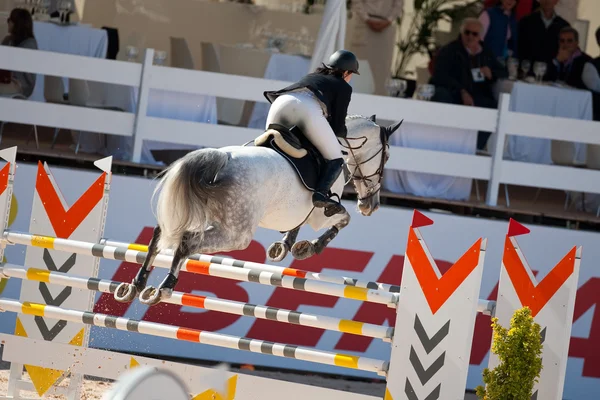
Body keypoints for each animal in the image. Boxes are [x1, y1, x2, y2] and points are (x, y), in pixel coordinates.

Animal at [114, 114, 400, 304]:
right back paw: (163, 288)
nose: (370, 205)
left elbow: (297, 225)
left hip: (196, 215)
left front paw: (283, 247)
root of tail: (222, 158)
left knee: (157, 238)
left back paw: (134, 287)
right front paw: (308, 248)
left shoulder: (299, 213)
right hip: (236, 234)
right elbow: (342, 219)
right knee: (186, 243)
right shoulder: (321, 213)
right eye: (386, 156)